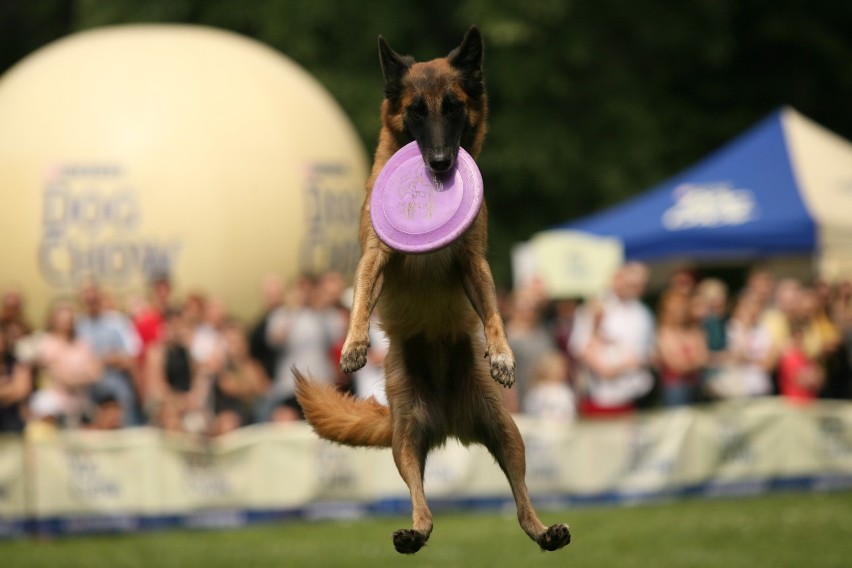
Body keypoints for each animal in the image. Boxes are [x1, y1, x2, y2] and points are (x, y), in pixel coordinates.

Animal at [294, 26, 572, 556]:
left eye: (454, 107)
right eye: (417, 111)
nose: (442, 164)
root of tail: (447, 420)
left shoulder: (473, 262)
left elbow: (494, 312)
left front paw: (503, 355)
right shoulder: (375, 257)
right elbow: (360, 299)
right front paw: (354, 344)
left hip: (506, 433)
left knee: (521, 499)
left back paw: (545, 531)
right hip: (405, 439)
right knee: (421, 500)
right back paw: (414, 533)